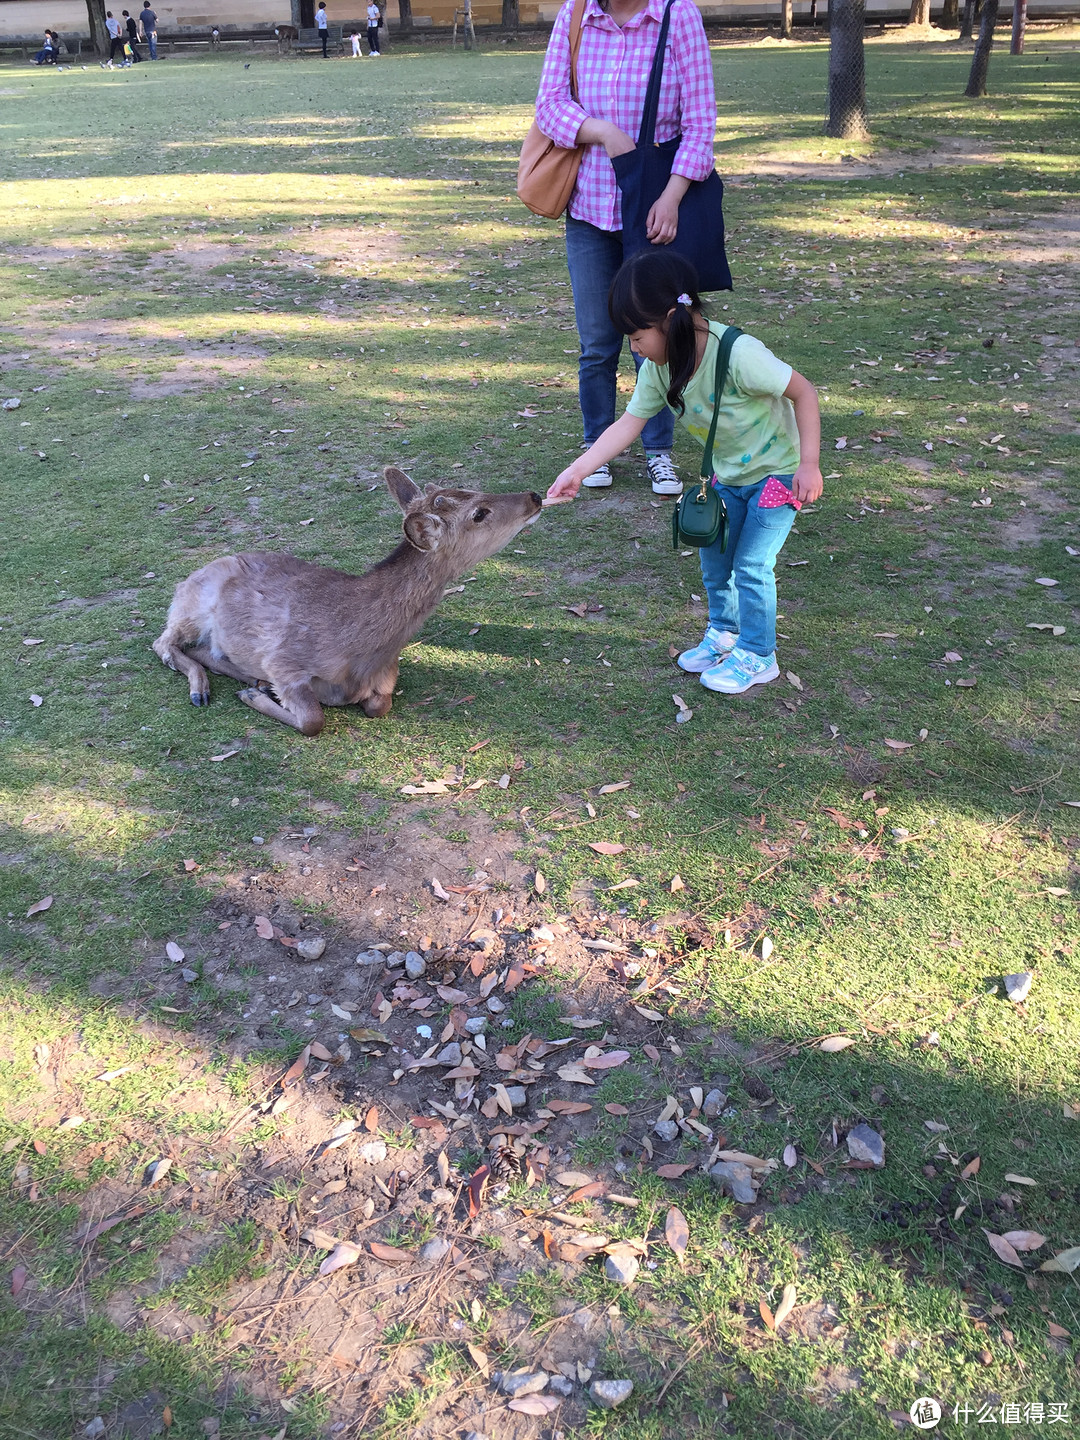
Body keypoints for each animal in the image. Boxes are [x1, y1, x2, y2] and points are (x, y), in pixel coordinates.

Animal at [152, 466, 541, 737]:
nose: (535, 496)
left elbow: (379, 705)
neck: (364, 649)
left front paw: (257, 691)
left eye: (474, 490)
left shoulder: (387, 676)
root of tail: (189, 577)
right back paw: (208, 690)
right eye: (479, 513)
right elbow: (313, 720)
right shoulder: (283, 660)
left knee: (203, 651)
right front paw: (256, 698)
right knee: (163, 642)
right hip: (191, 605)